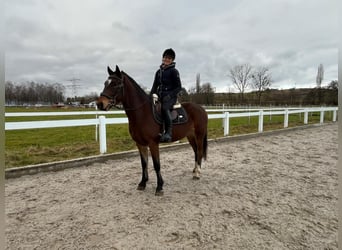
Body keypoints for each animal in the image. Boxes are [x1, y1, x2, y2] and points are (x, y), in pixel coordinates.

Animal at [97, 65, 208, 195]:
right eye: (105, 83)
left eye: (115, 84)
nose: (100, 104)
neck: (142, 113)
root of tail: (201, 108)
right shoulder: (140, 144)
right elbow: (144, 163)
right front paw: (142, 183)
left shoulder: (153, 143)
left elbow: (156, 164)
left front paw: (159, 187)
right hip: (190, 136)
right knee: (195, 151)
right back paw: (195, 170)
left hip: (199, 135)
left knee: (199, 151)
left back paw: (198, 173)